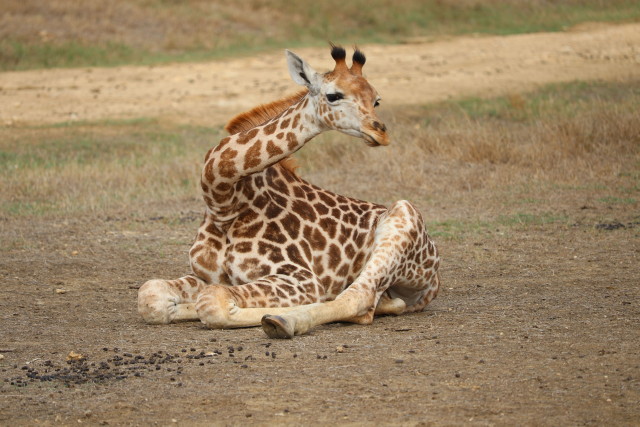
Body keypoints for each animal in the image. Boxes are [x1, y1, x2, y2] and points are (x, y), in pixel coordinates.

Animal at [137, 45, 440, 338]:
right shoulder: (205, 276)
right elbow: (150, 295)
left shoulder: (299, 278)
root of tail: (434, 279)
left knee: (358, 298)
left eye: (376, 100)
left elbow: (213, 303)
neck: (224, 199)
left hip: (403, 216)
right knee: (380, 302)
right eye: (333, 95)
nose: (380, 132)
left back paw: (283, 321)